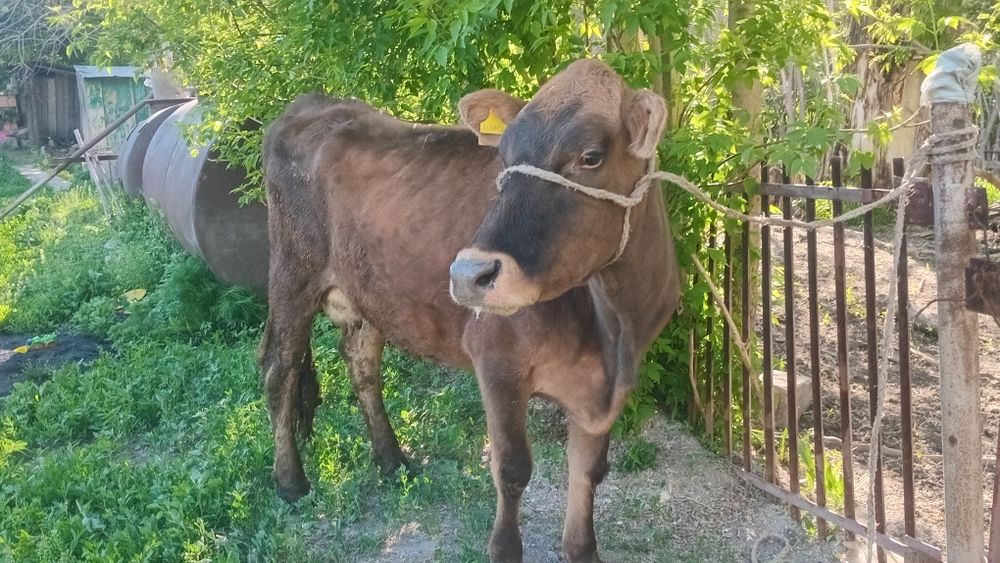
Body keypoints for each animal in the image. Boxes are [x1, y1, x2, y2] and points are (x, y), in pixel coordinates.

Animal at [258, 58, 680, 562]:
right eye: (505, 156)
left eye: (592, 156)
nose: (467, 274)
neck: (613, 329)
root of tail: (311, 102)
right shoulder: (495, 357)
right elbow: (512, 469)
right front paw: (504, 548)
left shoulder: (604, 386)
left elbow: (589, 470)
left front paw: (582, 549)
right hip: (292, 273)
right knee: (280, 368)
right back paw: (290, 481)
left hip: (366, 291)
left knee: (361, 364)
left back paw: (392, 460)